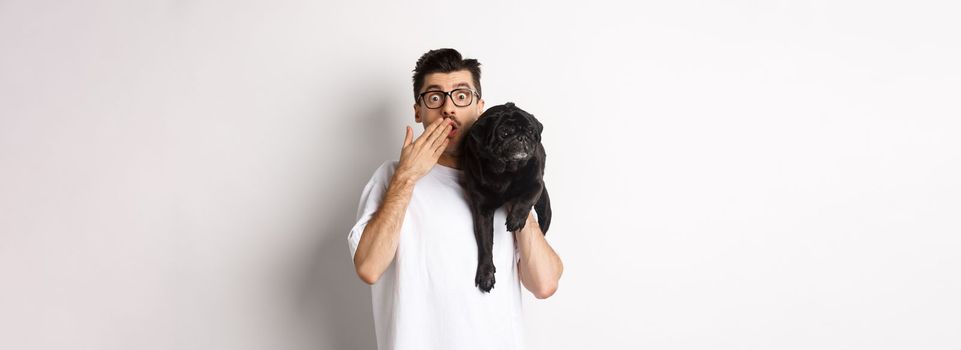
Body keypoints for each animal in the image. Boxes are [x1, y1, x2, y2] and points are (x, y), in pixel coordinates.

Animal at [460, 102, 552, 292]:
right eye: (505, 132)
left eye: (531, 131)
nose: (522, 137)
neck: (505, 172)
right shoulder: (482, 211)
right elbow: (486, 244)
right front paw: (486, 274)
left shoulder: (536, 183)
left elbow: (526, 198)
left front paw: (516, 219)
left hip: (545, 207)